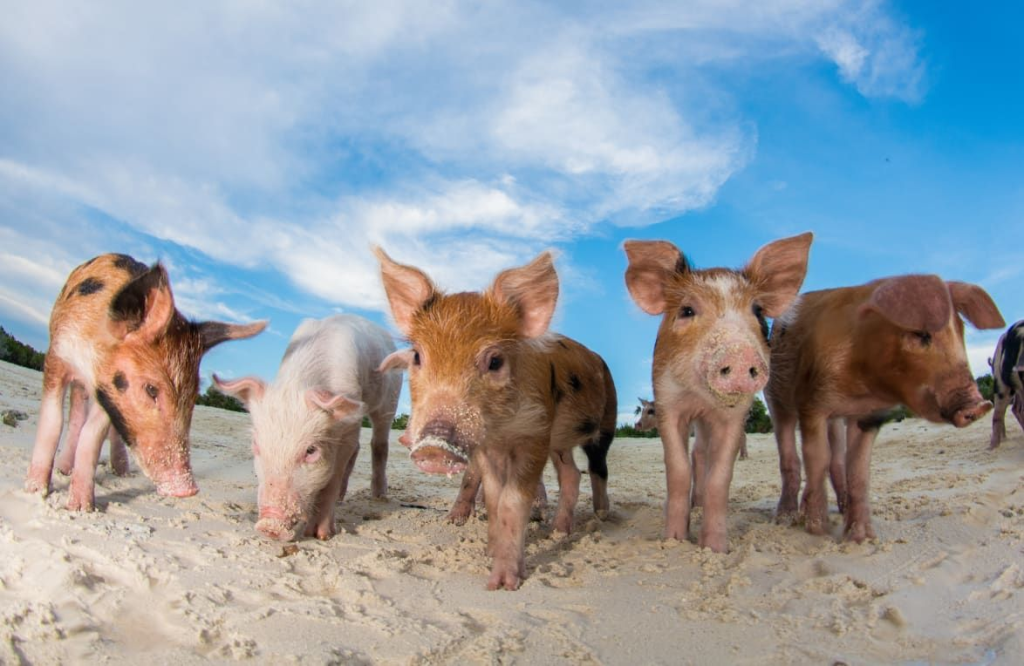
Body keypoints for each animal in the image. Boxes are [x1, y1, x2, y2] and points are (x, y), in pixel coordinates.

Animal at [25, 254, 266, 510]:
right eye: (151, 389)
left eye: (193, 396)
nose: (188, 489)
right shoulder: (57, 356)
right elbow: (53, 421)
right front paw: (35, 491)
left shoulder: (107, 393)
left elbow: (92, 436)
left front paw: (81, 508)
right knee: (76, 413)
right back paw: (63, 470)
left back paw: (120, 472)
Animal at [214, 315, 401, 541]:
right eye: (256, 445)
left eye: (311, 451)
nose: (269, 526)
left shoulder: (349, 420)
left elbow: (332, 477)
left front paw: (320, 535)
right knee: (358, 448)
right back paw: (342, 499)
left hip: (390, 398)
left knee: (379, 442)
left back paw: (379, 496)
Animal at [374, 248, 617, 590]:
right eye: (417, 356)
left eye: (495, 361)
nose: (434, 445)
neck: (502, 430)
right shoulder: (489, 447)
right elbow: (492, 496)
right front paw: (489, 552)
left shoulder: (536, 433)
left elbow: (513, 500)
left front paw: (502, 585)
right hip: (560, 443)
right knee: (571, 474)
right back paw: (558, 531)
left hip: (605, 423)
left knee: (598, 468)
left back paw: (601, 516)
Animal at [623, 232, 813, 553]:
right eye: (687, 311)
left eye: (757, 311)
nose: (740, 354)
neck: (700, 397)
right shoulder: (668, 402)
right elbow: (678, 469)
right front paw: (674, 540)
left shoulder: (734, 415)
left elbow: (720, 476)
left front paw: (714, 549)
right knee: (697, 454)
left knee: (703, 453)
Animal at [766, 275, 1005, 542]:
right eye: (920, 333)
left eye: (961, 330)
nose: (980, 405)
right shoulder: (811, 403)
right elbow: (817, 459)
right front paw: (818, 531)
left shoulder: (869, 416)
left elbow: (858, 470)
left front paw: (862, 538)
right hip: (776, 397)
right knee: (790, 453)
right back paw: (784, 518)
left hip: (835, 420)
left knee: (837, 459)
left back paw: (841, 509)